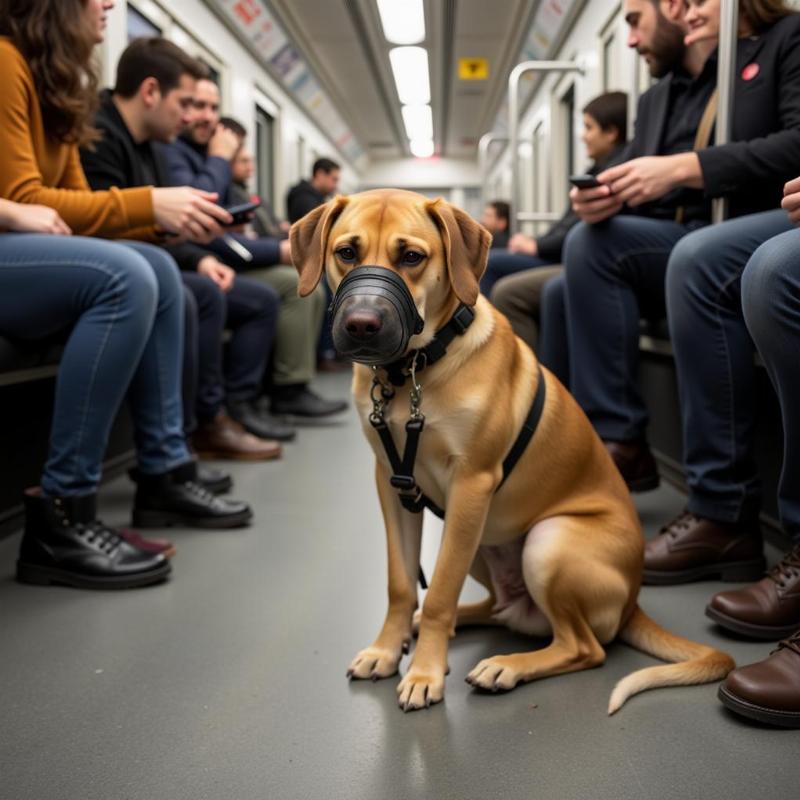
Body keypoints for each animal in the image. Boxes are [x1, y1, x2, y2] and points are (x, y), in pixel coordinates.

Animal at [290, 191, 736, 716]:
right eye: (346, 252)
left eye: (412, 257)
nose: (362, 324)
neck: (413, 372)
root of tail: (632, 603)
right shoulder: (392, 484)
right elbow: (402, 584)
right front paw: (386, 649)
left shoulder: (472, 484)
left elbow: (438, 593)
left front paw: (423, 673)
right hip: (479, 539)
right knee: (500, 609)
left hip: (545, 541)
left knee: (584, 647)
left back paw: (506, 666)